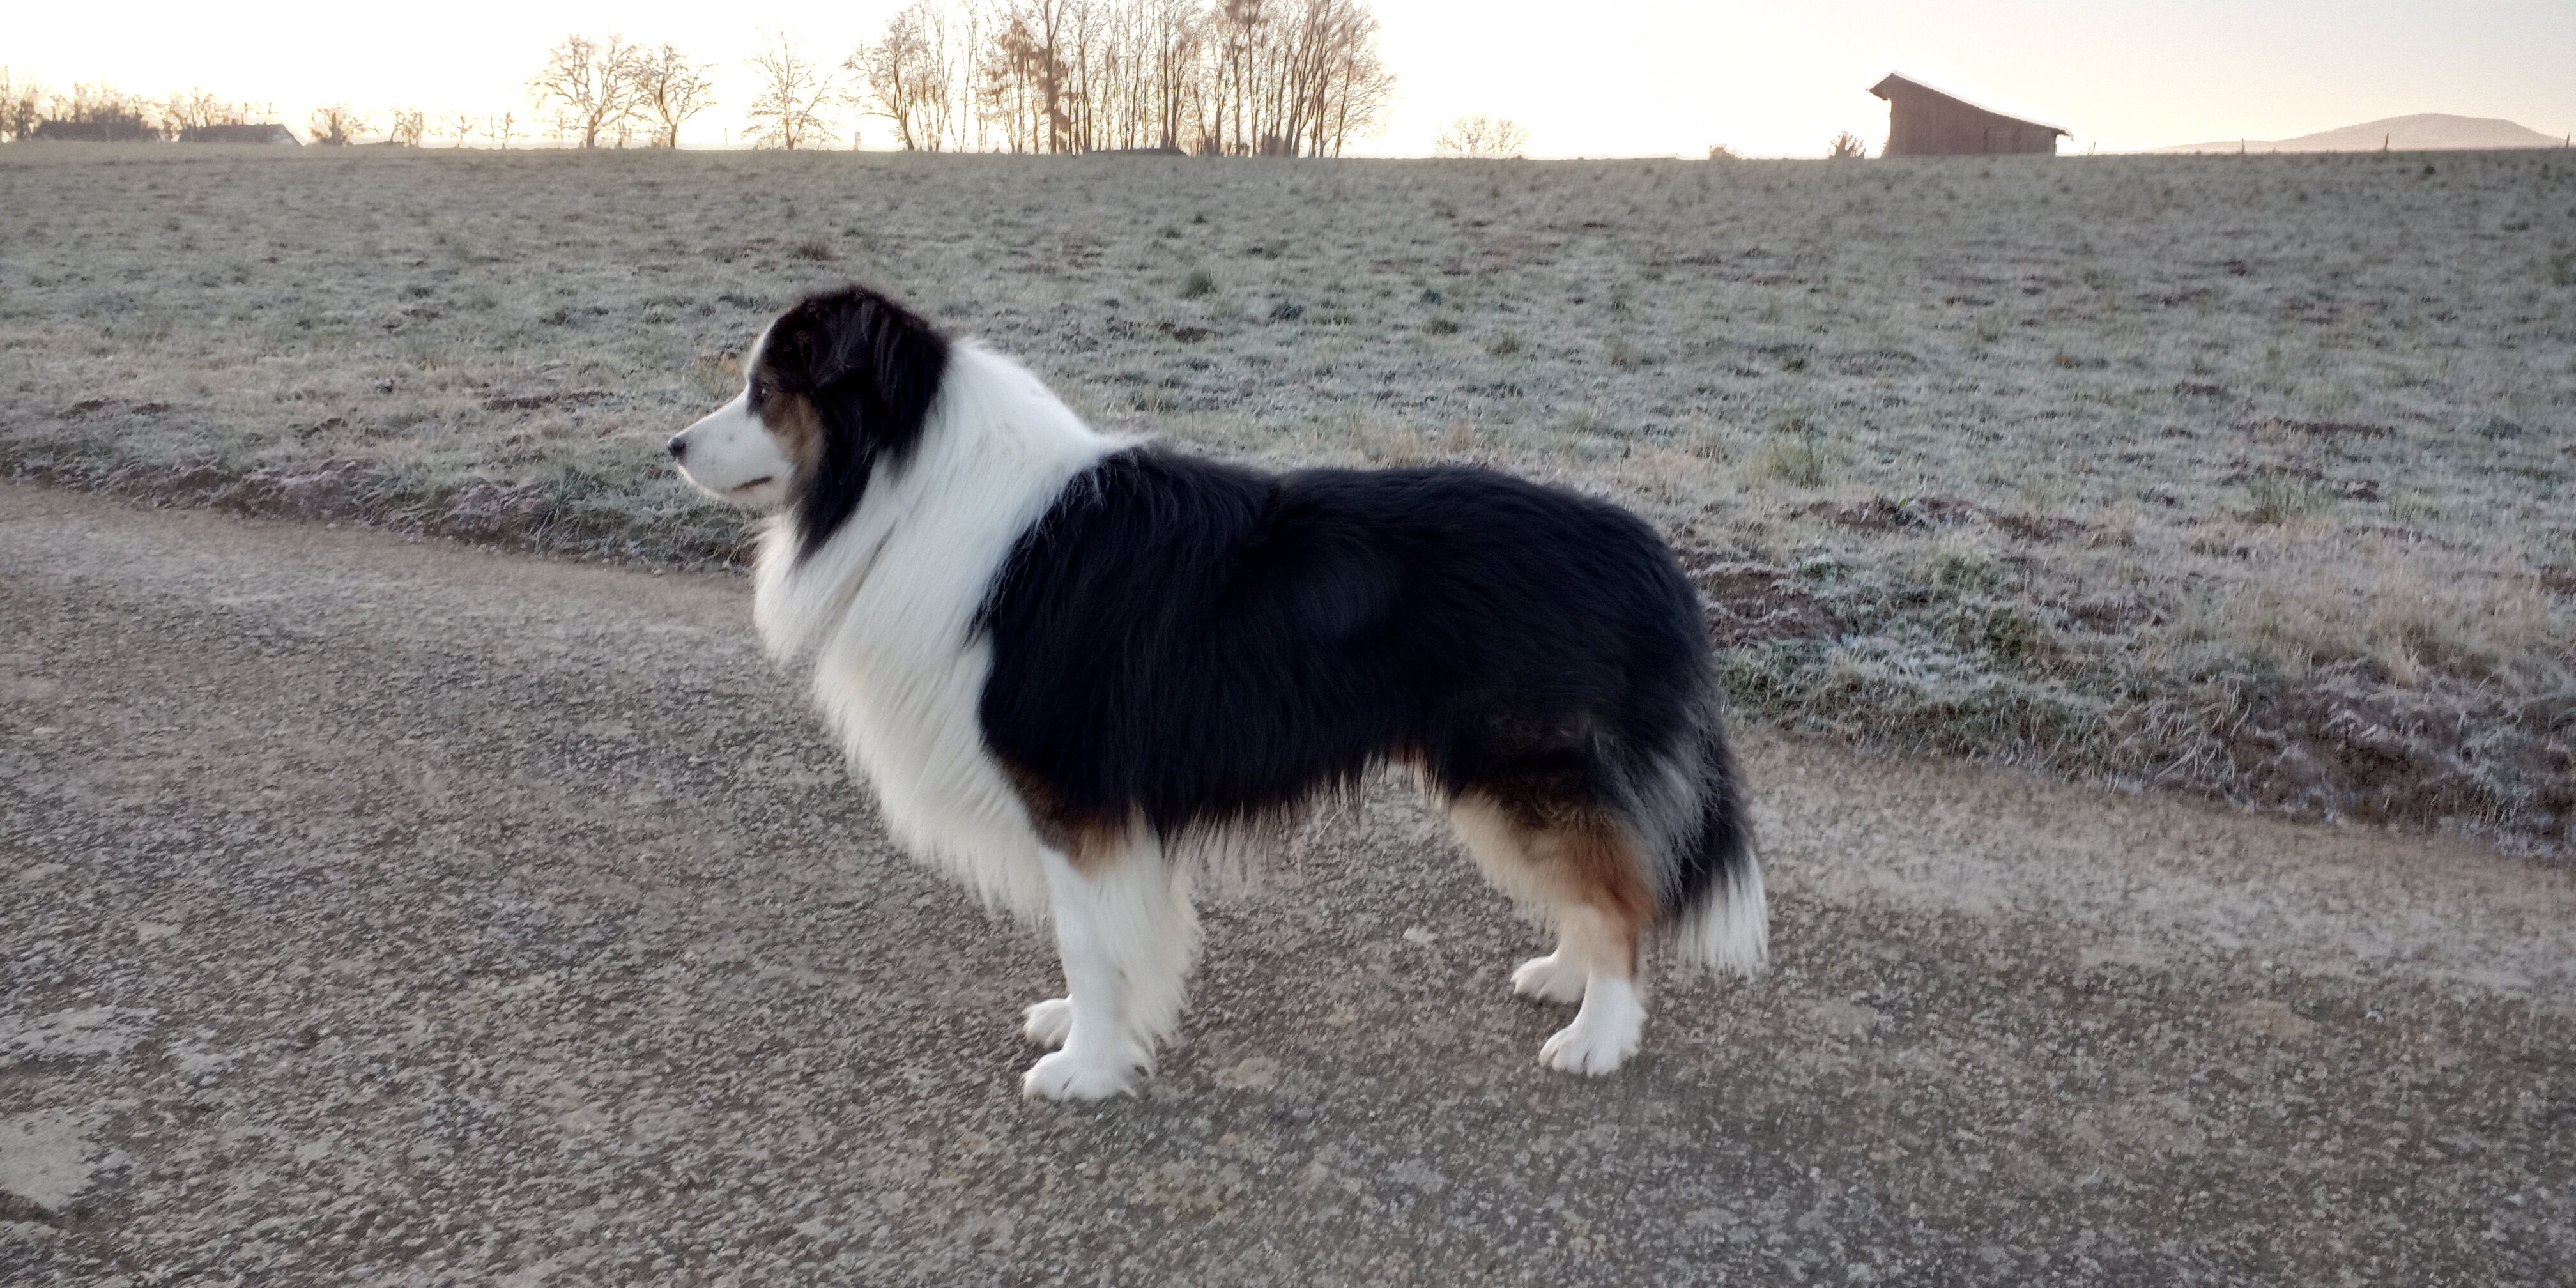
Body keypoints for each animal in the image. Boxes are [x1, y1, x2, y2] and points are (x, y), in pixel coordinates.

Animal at [668, 285, 1765, 1100]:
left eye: (766, 388)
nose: (671, 447)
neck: (912, 486)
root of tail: (1649, 552)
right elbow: (1114, 942)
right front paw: (1094, 1029)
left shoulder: (1074, 801)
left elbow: (1084, 938)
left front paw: (1086, 1067)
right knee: (1601, 885)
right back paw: (1565, 977)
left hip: (1522, 771)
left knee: (1622, 899)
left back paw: (1599, 1036)